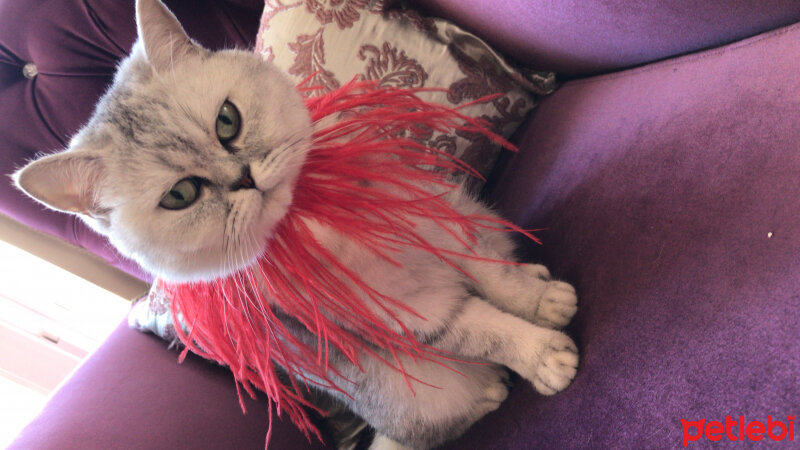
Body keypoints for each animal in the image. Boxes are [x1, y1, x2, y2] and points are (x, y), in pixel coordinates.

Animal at [15, 1, 580, 448]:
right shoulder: (407, 319)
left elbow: (495, 279)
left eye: (227, 121)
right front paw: (542, 355)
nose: (243, 178)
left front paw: (539, 302)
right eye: (180, 195)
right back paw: (489, 387)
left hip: (470, 210)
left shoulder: (438, 224)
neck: (312, 226)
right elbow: (485, 331)